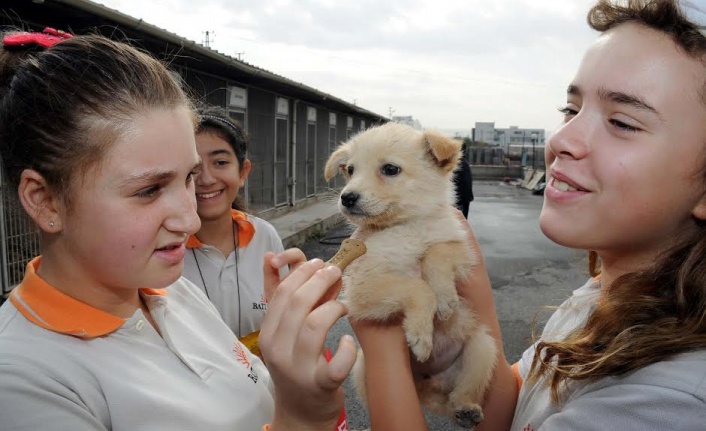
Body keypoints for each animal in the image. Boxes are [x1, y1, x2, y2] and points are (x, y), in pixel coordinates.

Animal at [324, 122, 496, 431]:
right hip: (363, 366)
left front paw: (445, 299)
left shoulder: (463, 250)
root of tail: (430, 386)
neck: (406, 227)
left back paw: (466, 409)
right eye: (350, 170)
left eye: (390, 169)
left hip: (483, 347)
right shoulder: (363, 289)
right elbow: (417, 287)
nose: (346, 197)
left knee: (461, 394)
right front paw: (421, 334)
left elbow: (437, 253)